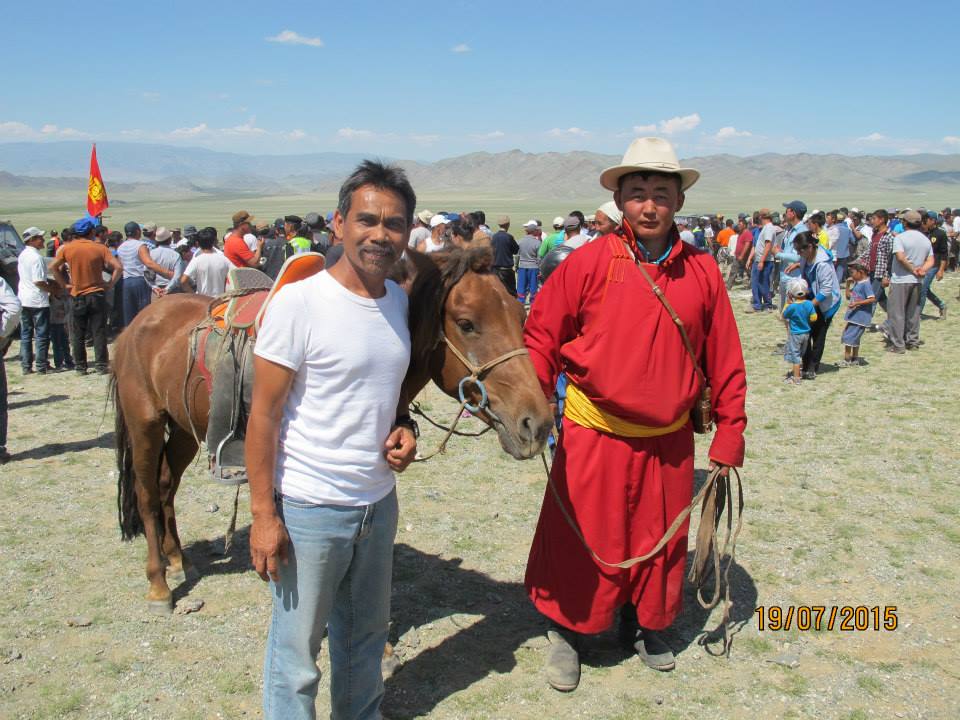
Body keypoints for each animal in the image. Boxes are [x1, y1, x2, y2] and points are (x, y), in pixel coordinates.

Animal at [110, 246, 556, 608]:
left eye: (519, 314)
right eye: (466, 323)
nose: (537, 423)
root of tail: (139, 321)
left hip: (185, 429)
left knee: (166, 484)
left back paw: (178, 559)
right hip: (146, 423)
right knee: (147, 495)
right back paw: (159, 585)